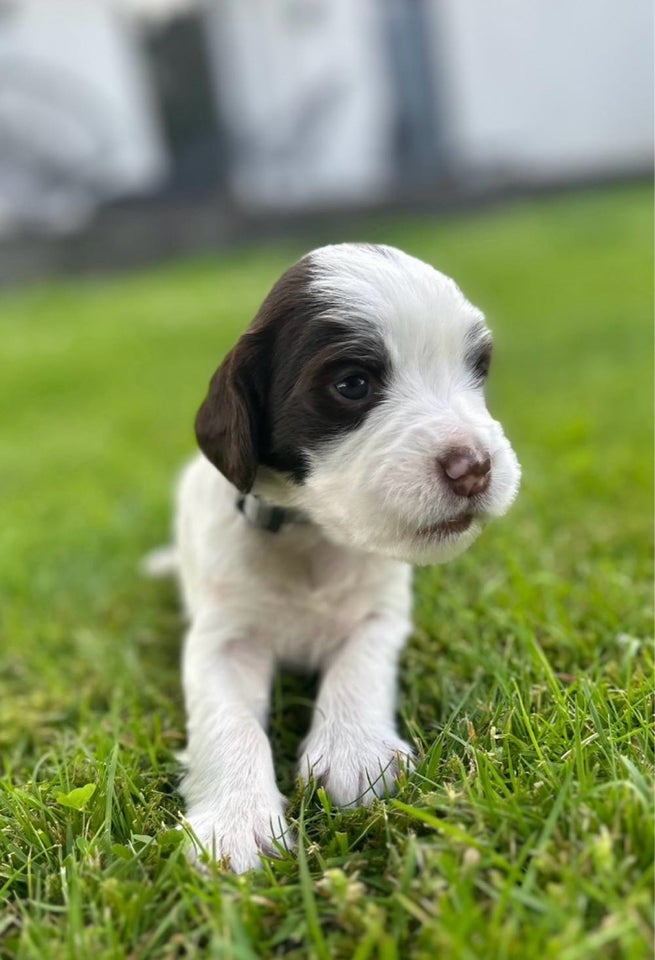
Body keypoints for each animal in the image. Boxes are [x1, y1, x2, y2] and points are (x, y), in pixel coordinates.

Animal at [165, 244, 524, 872]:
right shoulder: (222, 641)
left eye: (477, 368)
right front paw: (235, 821)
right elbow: (228, 720)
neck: (312, 537)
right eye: (352, 384)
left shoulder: (382, 615)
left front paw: (356, 752)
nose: (474, 468)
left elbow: (359, 667)